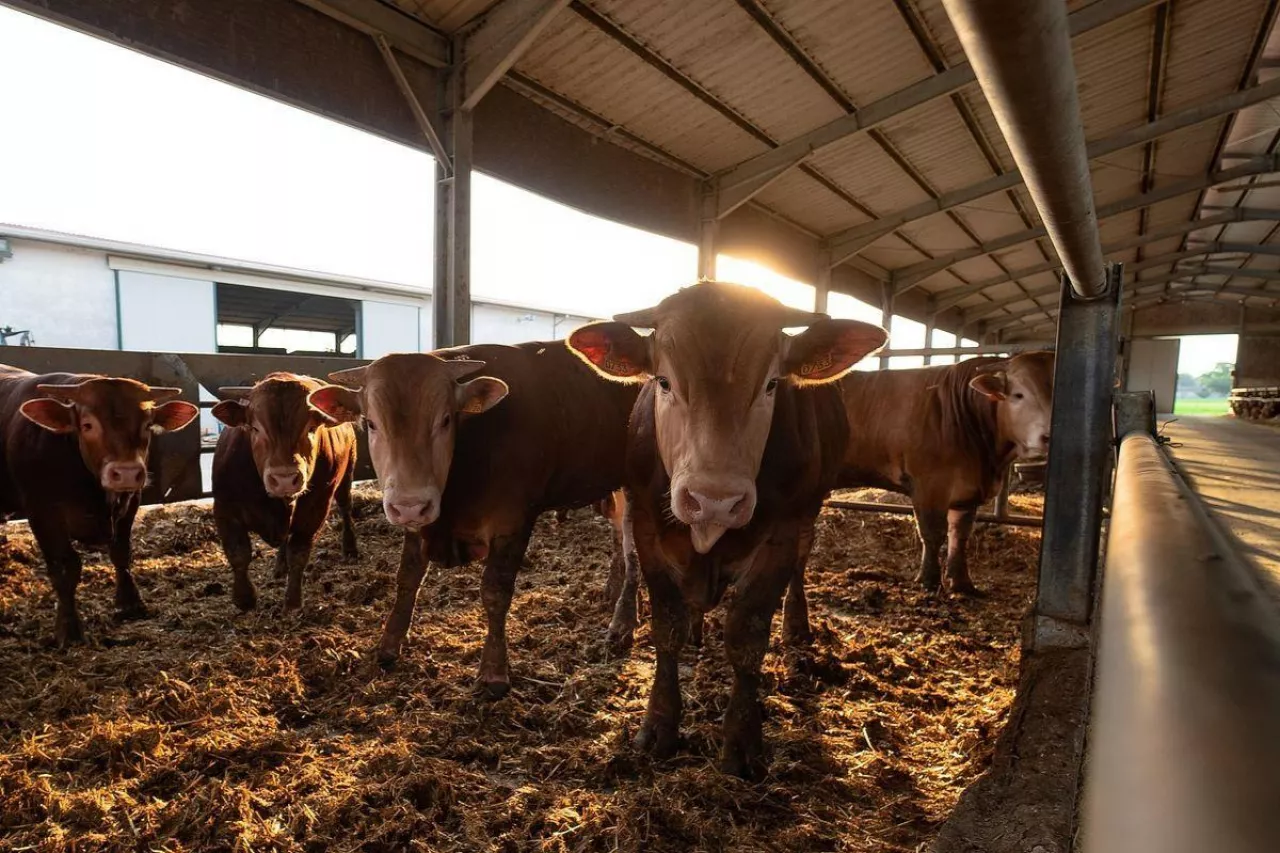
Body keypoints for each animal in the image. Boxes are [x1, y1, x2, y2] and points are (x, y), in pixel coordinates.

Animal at [0, 361, 199, 640]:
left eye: (148, 425)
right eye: (87, 425)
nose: (126, 472)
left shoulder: (131, 500)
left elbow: (121, 552)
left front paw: (130, 602)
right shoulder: (42, 512)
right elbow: (65, 567)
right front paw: (68, 627)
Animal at [211, 371, 360, 612]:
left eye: (311, 428)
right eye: (255, 428)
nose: (284, 479)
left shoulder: (315, 507)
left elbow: (298, 552)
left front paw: (292, 600)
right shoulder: (225, 507)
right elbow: (238, 553)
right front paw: (244, 598)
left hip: (347, 474)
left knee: (346, 508)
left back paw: (350, 547)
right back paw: (280, 567)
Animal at [309, 338, 640, 691]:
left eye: (445, 420)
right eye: (371, 423)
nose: (410, 504)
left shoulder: (513, 522)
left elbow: (495, 591)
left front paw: (494, 671)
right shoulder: (419, 521)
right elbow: (407, 578)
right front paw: (388, 645)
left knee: (633, 549)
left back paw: (623, 622)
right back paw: (612, 590)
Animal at [565, 281, 885, 773]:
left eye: (771, 385)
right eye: (663, 382)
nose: (715, 499)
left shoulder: (781, 535)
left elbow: (747, 638)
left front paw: (742, 741)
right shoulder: (648, 525)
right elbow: (667, 627)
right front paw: (659, 726)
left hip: (812, 510)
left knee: (801, 566)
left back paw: (797, 624)